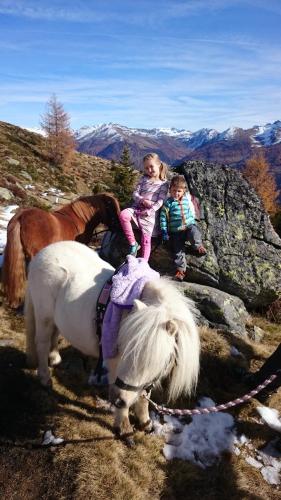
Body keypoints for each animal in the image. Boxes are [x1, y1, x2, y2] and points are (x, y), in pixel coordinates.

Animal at [24, 241, 199, 438]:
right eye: (123, 348)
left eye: (154, 361)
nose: (118, 400)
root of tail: (42, 253)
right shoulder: (114, 362)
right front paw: (123, 427)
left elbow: (144, 396)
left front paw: (145, 422)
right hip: (43, 315)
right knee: (41, 342)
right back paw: (45, 378)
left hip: (54, 318)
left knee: (54, 334)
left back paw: (54, 358)